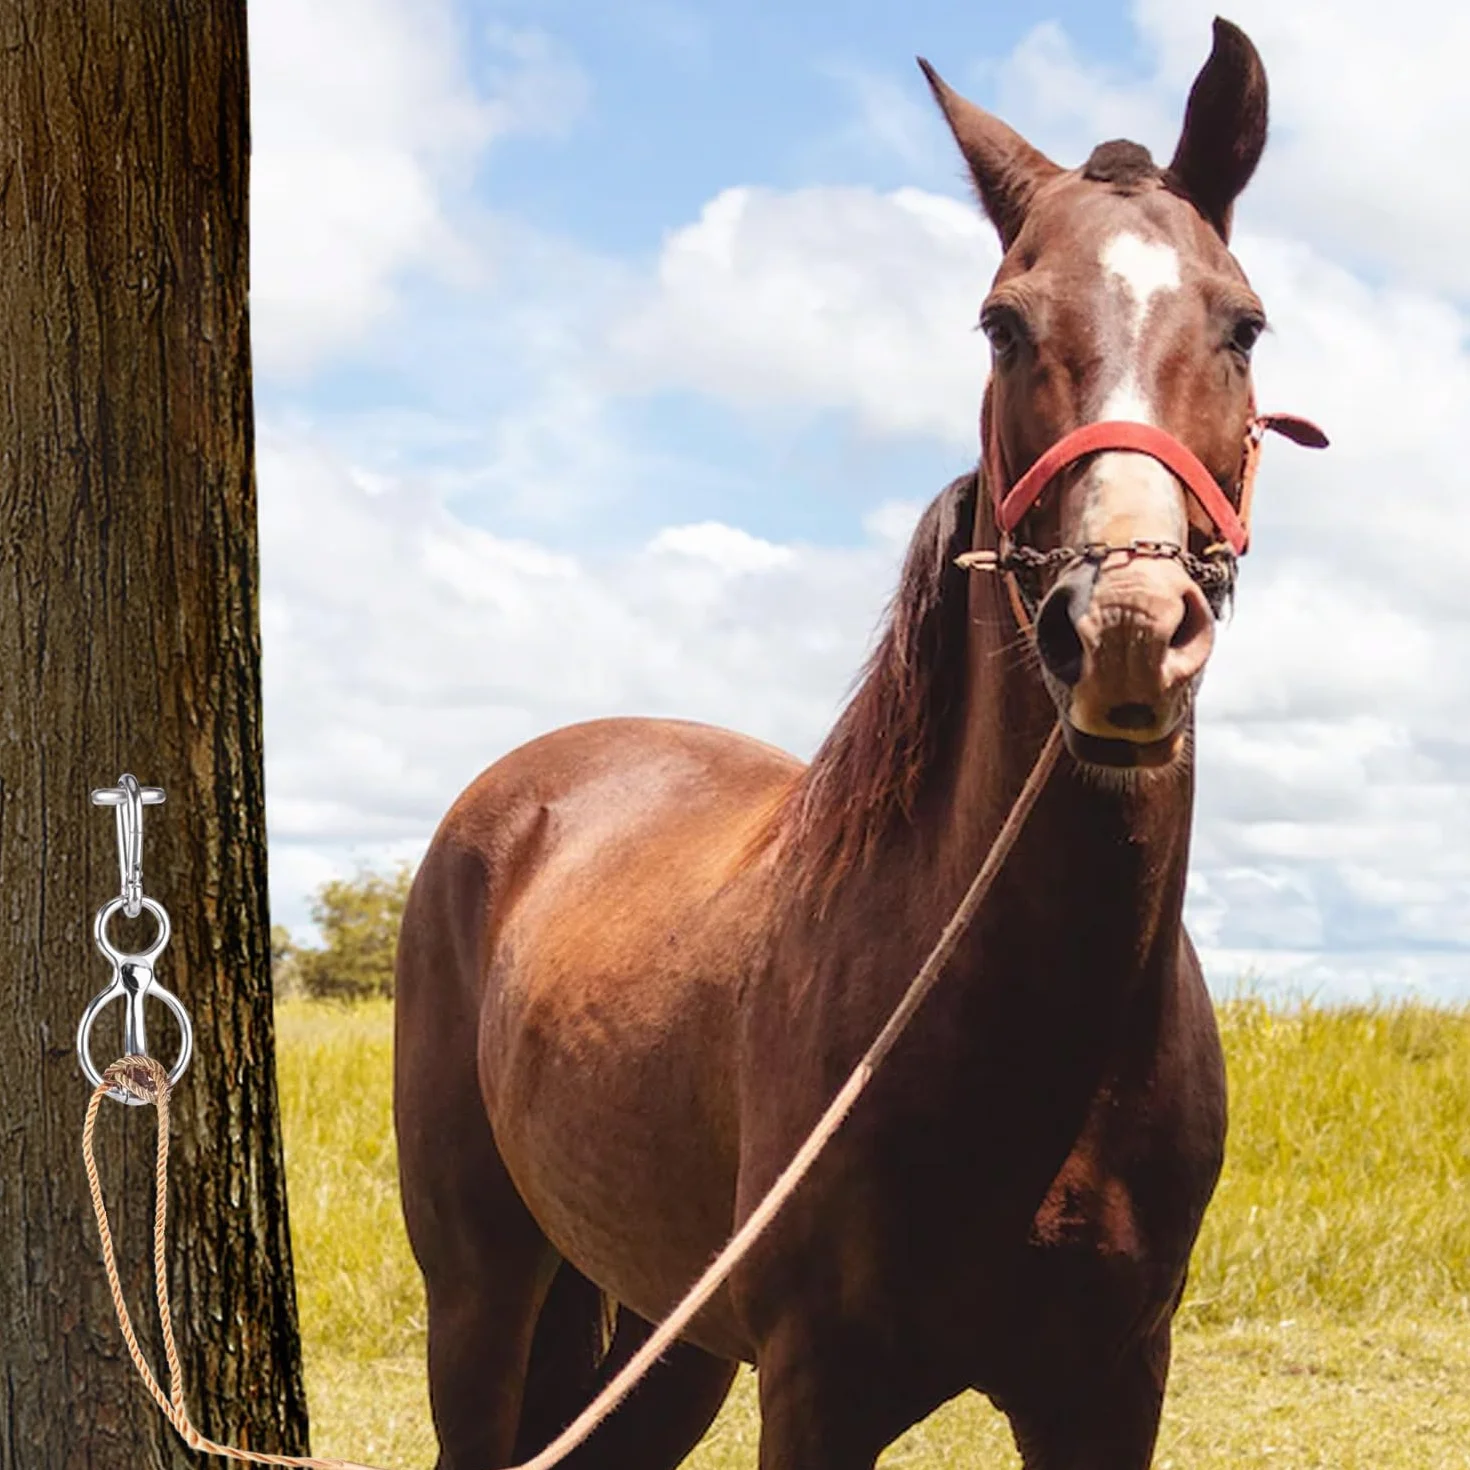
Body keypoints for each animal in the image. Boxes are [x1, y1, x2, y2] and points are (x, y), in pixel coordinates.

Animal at [394, 19, 1321, 1469]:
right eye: (1003, 322)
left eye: (1243, 322)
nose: (1124, 627)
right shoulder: (818, 1386)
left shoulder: (1111, 1384)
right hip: (481, 1290)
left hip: (662, 1337)